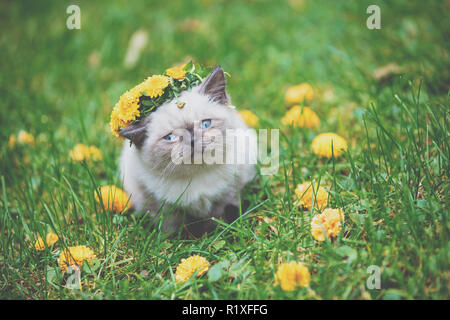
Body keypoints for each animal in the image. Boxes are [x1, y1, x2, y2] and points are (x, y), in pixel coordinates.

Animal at [118, 65, 255, 235]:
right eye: (170, 137)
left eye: (205, 124)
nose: (192, 140)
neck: (198, 175)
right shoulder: (162, 206)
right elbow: (171, 227)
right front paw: (178, 239)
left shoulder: (227, 195)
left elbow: (216, 218)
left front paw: (216, 234)